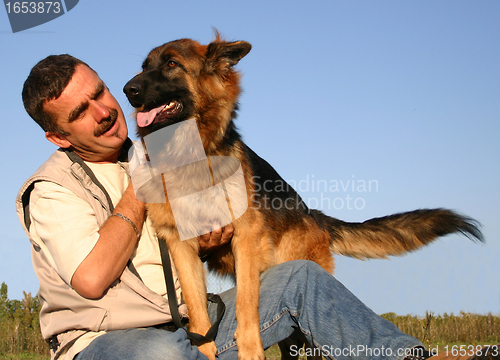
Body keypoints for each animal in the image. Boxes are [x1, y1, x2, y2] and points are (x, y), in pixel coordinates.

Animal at [123, 34, 482, 360]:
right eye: (144, 66)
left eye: (172, 64)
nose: (129, 90)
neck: (188, 155)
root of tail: (315, 216)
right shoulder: (180, 245)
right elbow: (198, 314)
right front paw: (206, 350)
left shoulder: (244, 239)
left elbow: (245, 307)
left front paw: (249, 350)